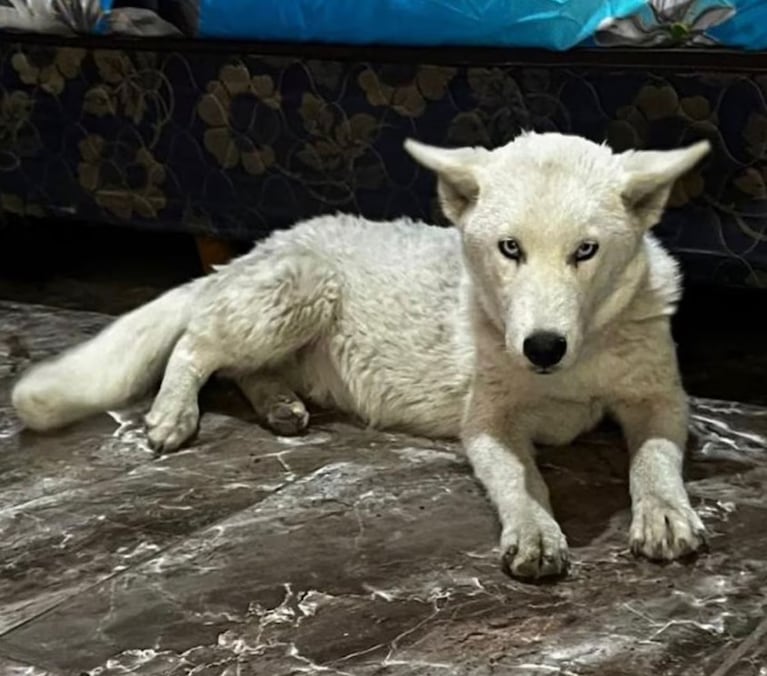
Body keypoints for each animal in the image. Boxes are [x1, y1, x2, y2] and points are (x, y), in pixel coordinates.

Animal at [12, 132, 710, 580]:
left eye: (585, 251)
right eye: (509, 248)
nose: (542, 347)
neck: (581, 355)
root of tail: (259, 246)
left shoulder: (660, 400)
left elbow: (653, 459)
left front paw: (664, 512)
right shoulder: (488, 421)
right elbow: (521, 478)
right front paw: (536, 528)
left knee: (241, 368)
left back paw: (280, 405)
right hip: (299, 289)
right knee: (197, 345)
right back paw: (173, 414)